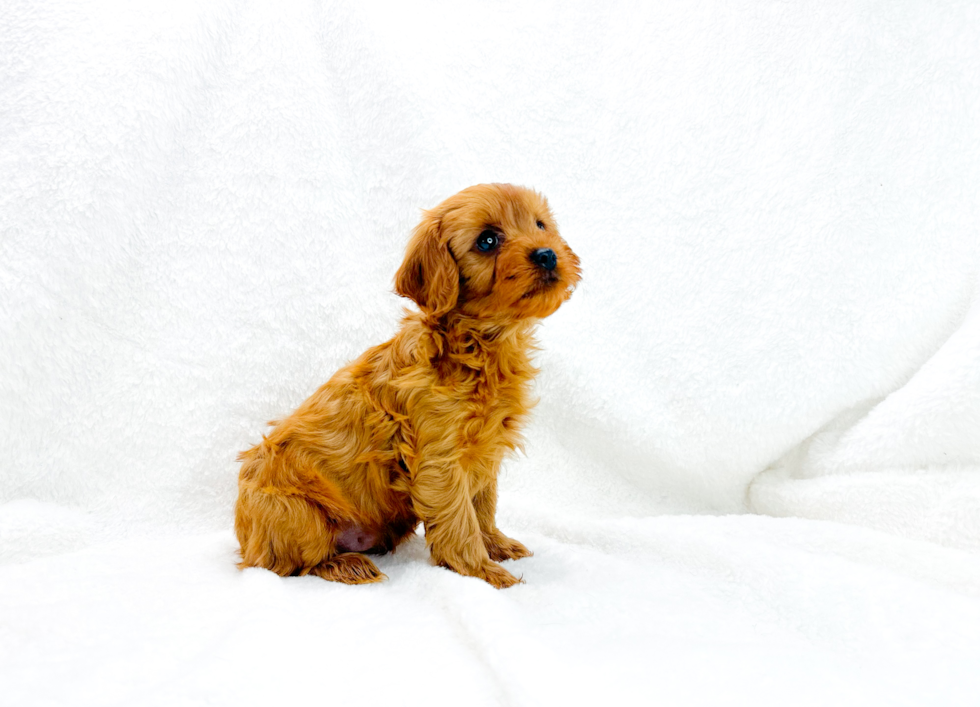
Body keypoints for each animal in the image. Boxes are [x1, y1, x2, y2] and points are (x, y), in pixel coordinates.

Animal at [234, 183, 580, 588]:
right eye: (487, 240)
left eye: (540, 225)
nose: (547, 254)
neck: (477, 346)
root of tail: (244, 538)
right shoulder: (440, 462)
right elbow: (460, 520)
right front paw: (482, 571)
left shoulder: (485, 453)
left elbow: (482, 506)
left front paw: (496, 545)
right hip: (294, 514)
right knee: (289, 564)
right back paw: (344, 564)